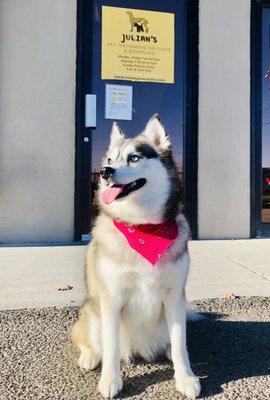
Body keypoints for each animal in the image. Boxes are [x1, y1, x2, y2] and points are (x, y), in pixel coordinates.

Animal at [71, 114, 200, 398]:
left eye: (134, 158)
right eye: (110, 159)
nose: (105, 172)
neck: (143, 228)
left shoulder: (175, 296)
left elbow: (180, 344)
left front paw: (185, 377)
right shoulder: (111, 298)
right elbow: (111, 346)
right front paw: (110, 380)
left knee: (175, 341)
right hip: (92, 312)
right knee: (84, 337)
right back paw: (89, 356)